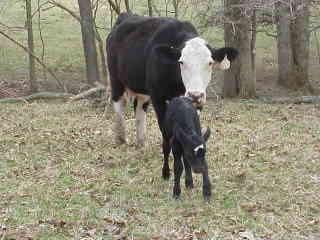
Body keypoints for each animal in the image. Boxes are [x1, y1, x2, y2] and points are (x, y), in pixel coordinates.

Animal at [106, 12, 239, 154]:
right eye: (181, 62)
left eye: (210, 63)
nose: (195, 95)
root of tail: (125, 16)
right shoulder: (158, 97)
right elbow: (165, 129)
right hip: (116, 79)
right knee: (118, 103)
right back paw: (121, 139)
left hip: (142, 89)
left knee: (140, 108)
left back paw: (141, 143)